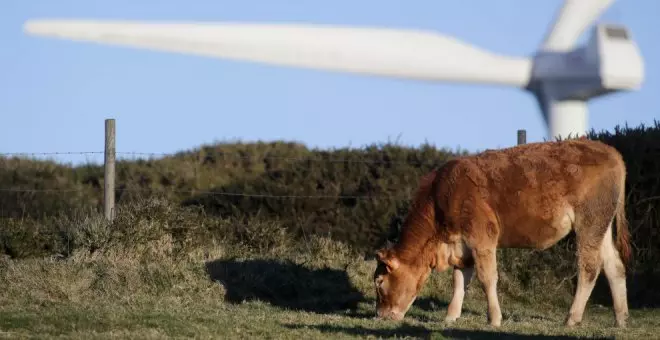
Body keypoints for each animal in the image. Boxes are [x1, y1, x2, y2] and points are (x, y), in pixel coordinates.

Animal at [374, 137, 632, 326]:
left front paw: (494, 319)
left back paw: (571, 318)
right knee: (614, 265)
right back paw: (621, 319)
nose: (379, 315)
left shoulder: (482, 236)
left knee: (589, 267)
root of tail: (610, 151)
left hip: (589, 221)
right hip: (601, 226)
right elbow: (459, 280)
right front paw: (450, 316)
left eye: (379, 281)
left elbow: (487, 278)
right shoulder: (462, 245)